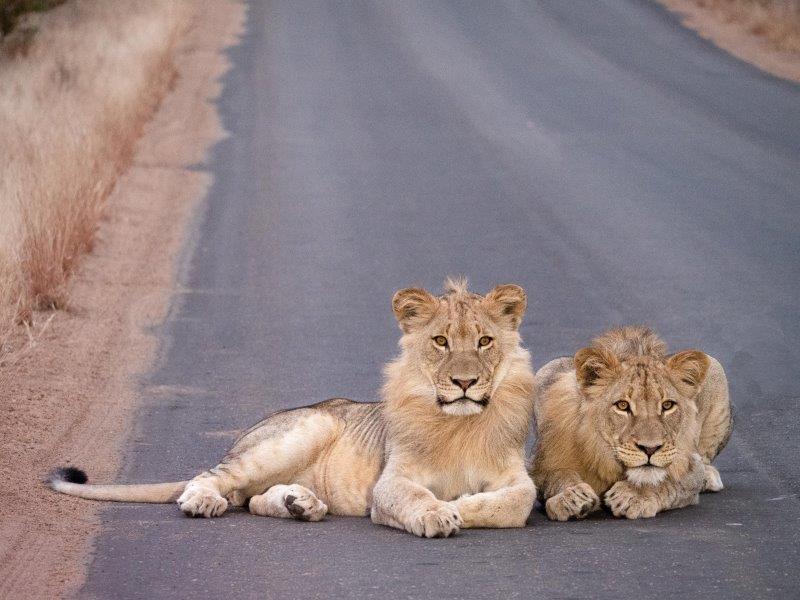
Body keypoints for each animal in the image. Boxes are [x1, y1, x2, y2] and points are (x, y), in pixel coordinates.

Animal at [51, 280, 536, 540]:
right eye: (440, 342)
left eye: (484, 341)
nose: (464, 383)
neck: (460, 427)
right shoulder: (390, 482)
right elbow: (415, 496)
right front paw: (439, 512)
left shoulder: (515, 477)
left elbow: (517, 502)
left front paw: (463, 503)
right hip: (307, 426)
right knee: (212, 478)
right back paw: (204, 501)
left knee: (250, 499)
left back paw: (299, 503)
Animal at [532, 326, 732, 516]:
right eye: (622, 406)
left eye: (667, 405)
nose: (650, 449)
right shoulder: (543, 466)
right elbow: (556, 477)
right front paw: (570, 497)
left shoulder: (690, 469)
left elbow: (667, 482)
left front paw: (634, 496)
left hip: (716, 369)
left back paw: (710, 477)